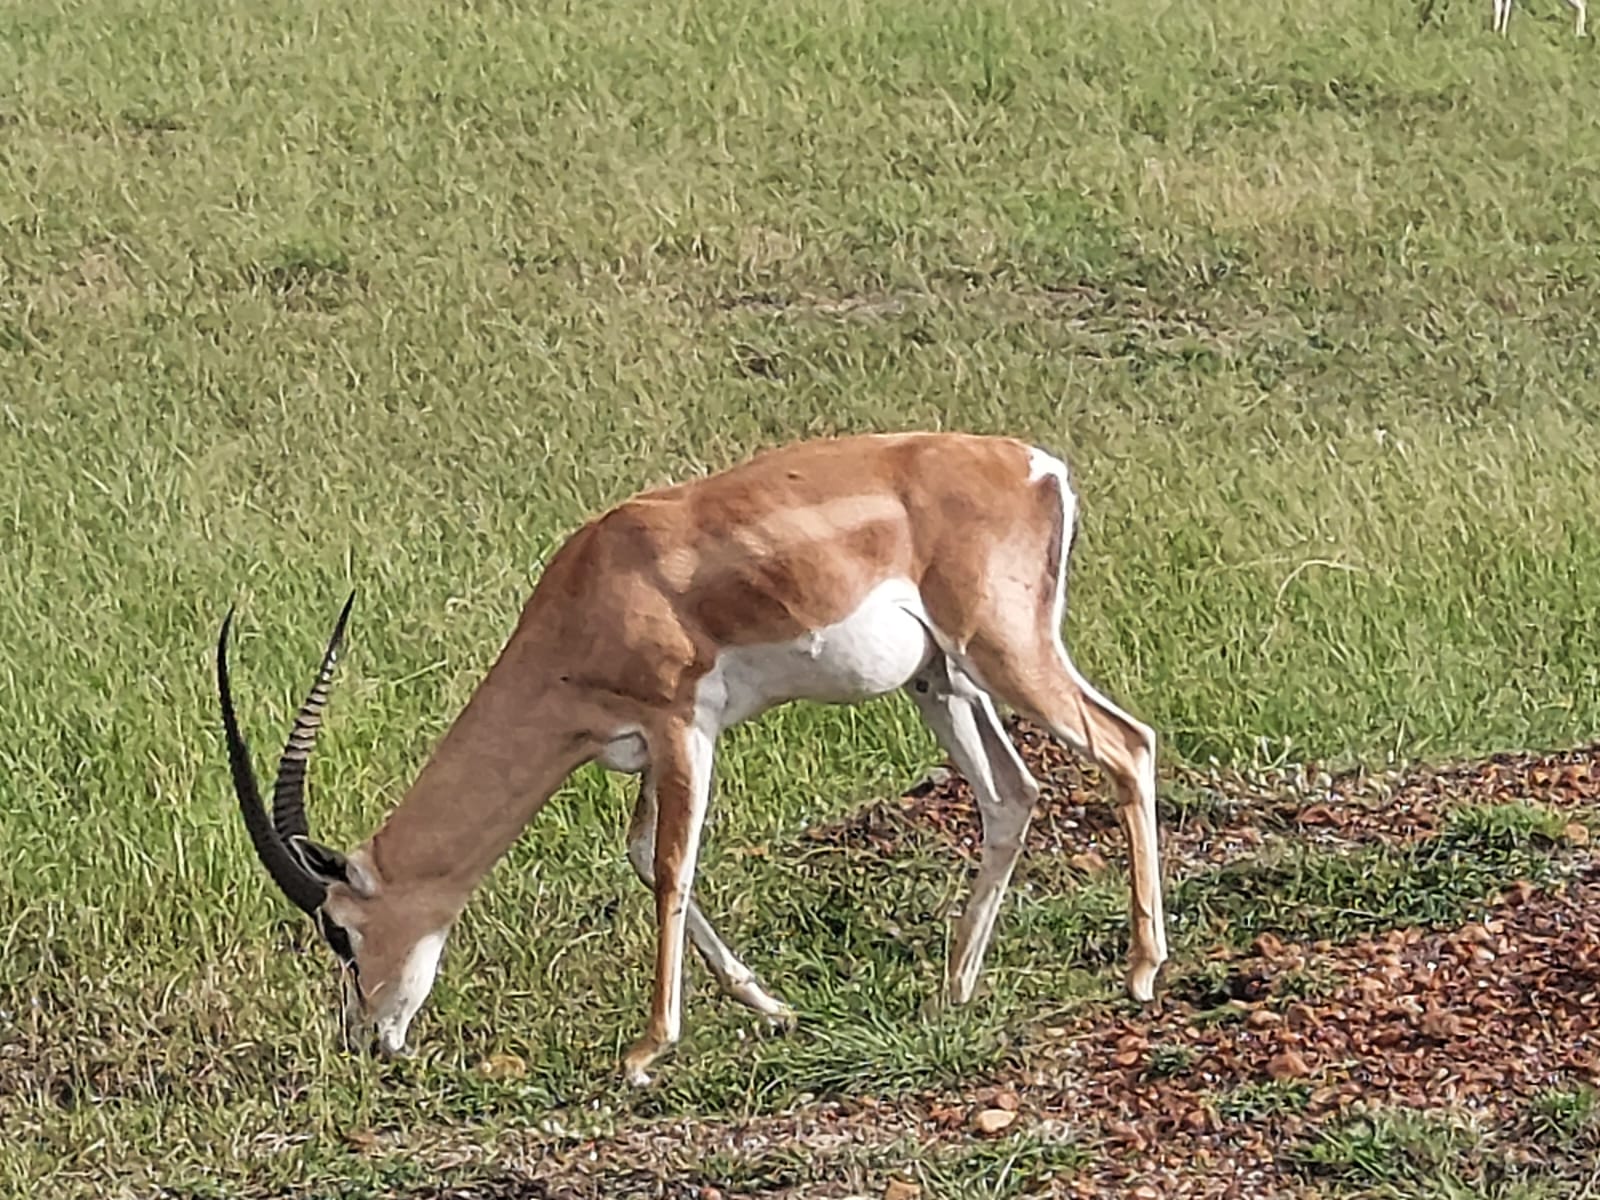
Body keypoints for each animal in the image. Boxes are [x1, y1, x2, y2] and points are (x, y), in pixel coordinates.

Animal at [216, 435, 1164, 1088]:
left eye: (339, 931)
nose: (365, 1040)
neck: (594, 587)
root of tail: (1036, 466)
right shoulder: (638, 749)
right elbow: (643, 856)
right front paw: (773, 1008)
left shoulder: (682, 727)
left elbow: (671, 868)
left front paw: (645, 1051)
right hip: (941, 680)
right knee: (1012, 794)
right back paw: (953, 989)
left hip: (1002, 653)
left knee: (1128, 744)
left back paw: (1142, 973)